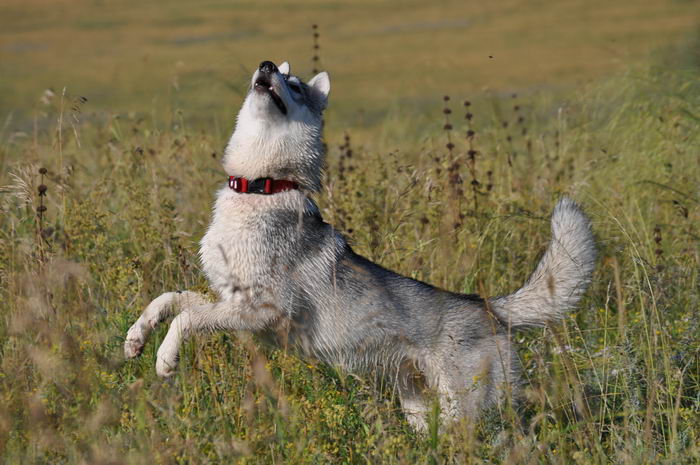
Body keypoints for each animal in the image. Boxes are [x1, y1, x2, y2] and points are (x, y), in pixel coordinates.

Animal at [123, 59, 592, 430]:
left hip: (467, 414)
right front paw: (137, 337)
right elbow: (172, 299)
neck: (262, 186)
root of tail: (490, 307)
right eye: (274, 72)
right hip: (419, 407)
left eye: (294, 86)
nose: (267, 65)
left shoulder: (261, 310)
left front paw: (165, 359)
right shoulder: (229, 300)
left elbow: (187, 319)